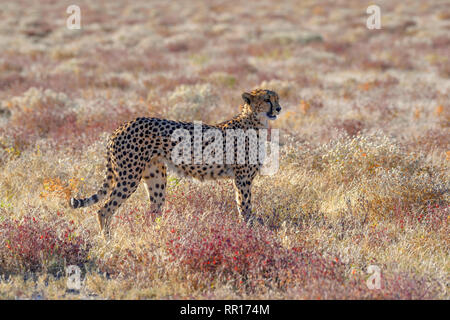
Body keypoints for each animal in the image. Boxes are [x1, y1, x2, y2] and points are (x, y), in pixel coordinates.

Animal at [70, 89, 282, 236]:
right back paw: (108, 241)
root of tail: (121, 126)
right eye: (267, 99)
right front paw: (248, 231)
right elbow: (244, 206)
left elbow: (243, 205)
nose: (279, 108)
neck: (255, 122)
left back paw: (157, 236)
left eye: (277, 98)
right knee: (104, 210)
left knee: (154, 212)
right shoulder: (242, 179)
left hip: (156, 178)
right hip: (129, 177)